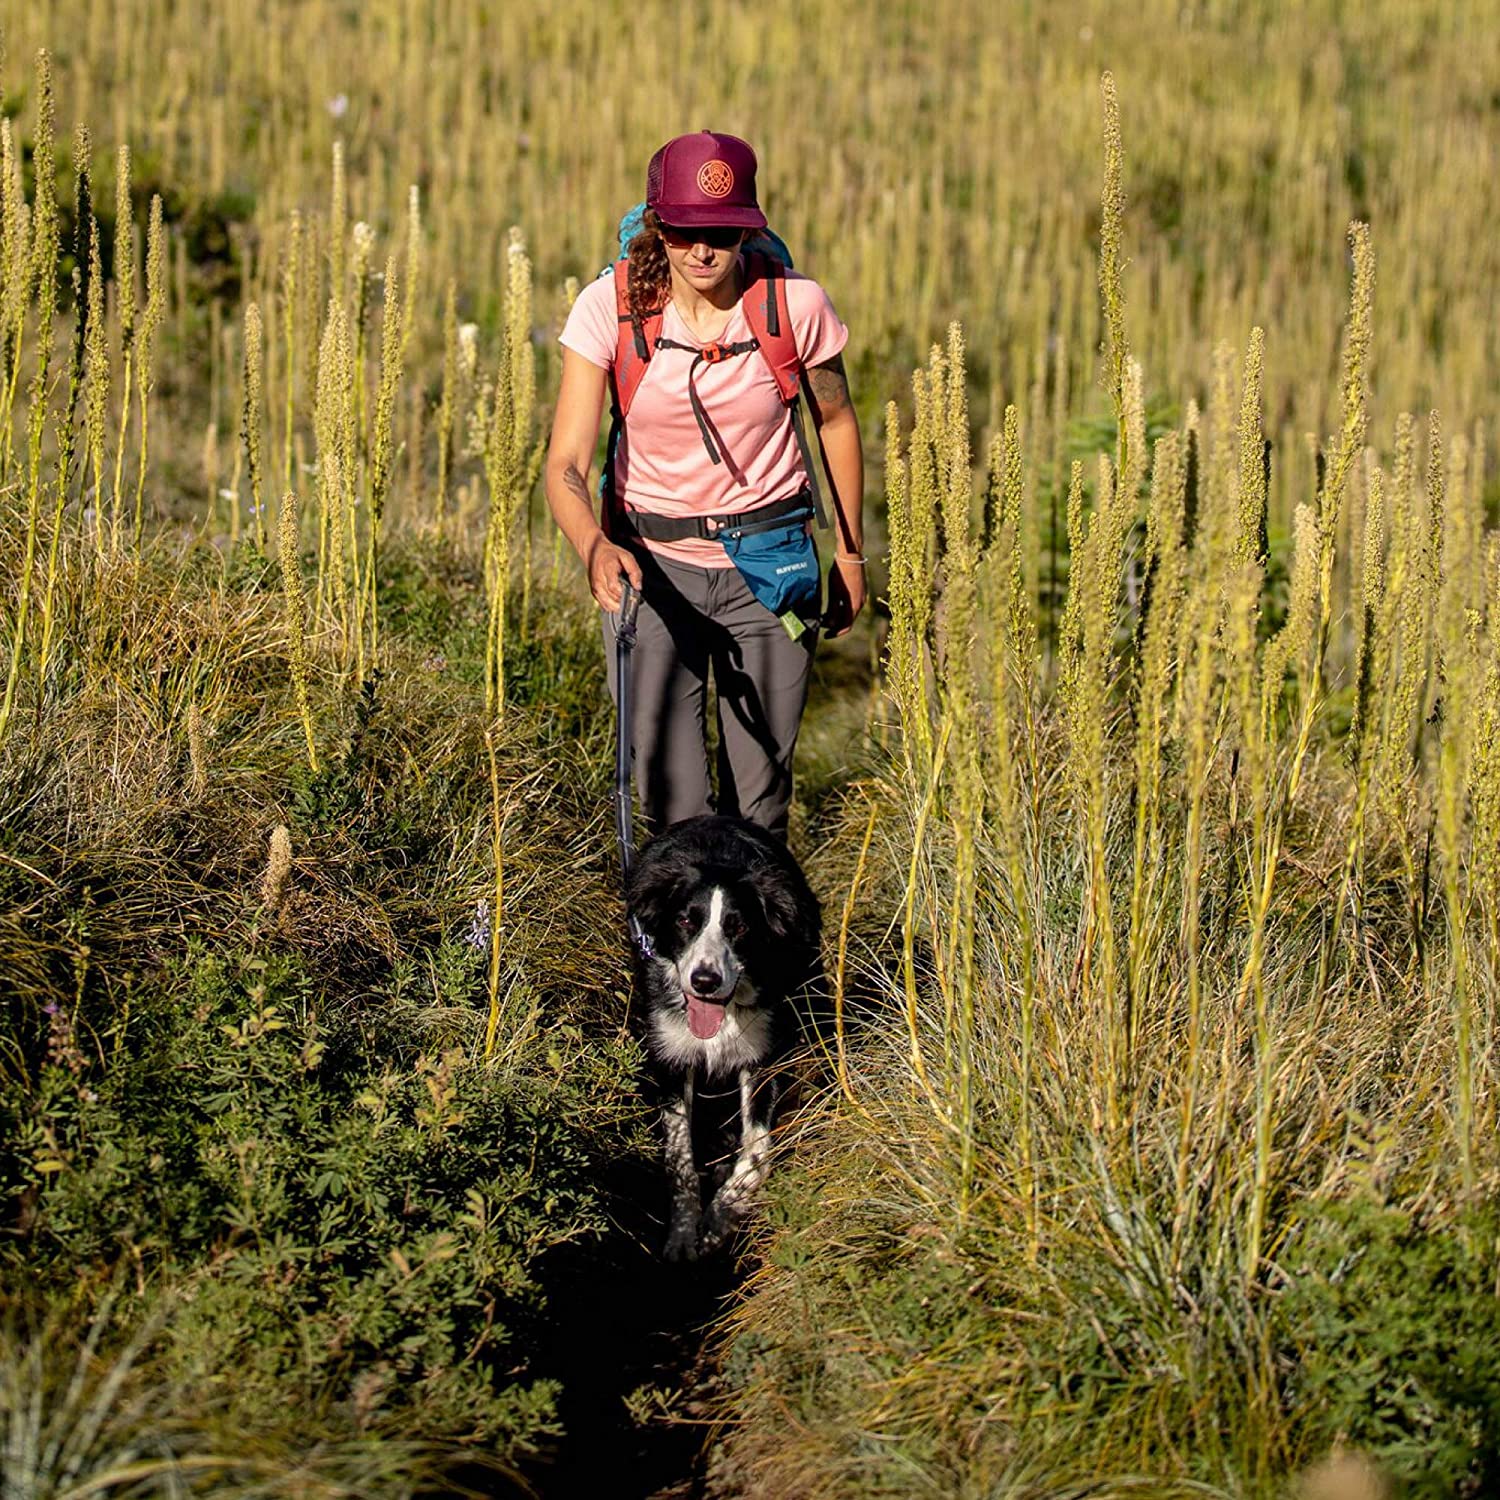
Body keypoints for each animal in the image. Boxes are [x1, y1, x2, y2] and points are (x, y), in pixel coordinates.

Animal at [627, 816, 828, 1260]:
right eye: (686, 921)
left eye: (739, 926)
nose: (705, 981)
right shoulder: (670, 1054)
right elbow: (679, 1154)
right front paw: (683, 1234)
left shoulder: (763, 1055)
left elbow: (756, 1152)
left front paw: (720, 1220)